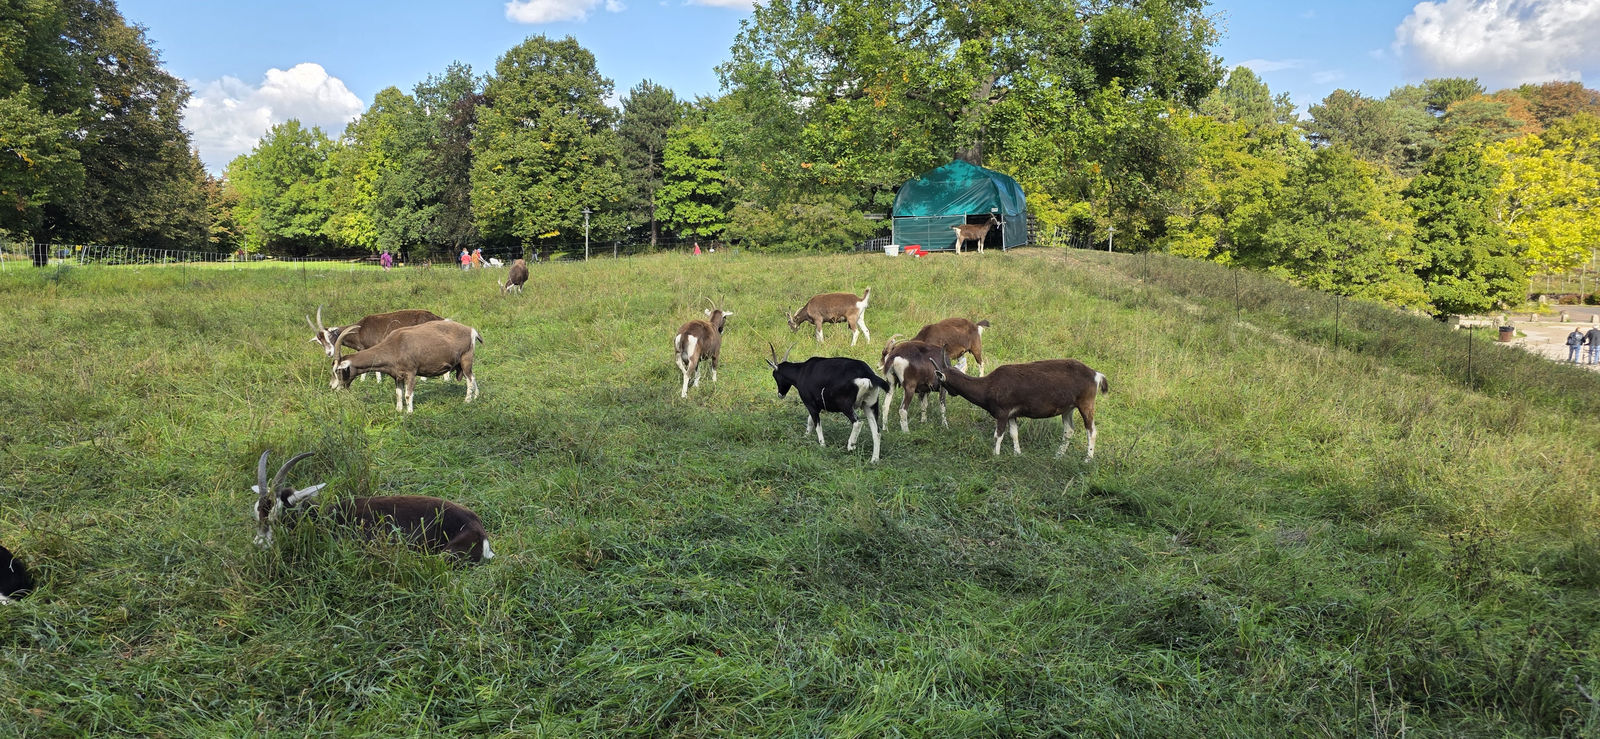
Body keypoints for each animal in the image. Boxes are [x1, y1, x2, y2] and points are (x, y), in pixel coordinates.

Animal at [331, 320, 482, 413]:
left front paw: (409, 412)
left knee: (469, 379)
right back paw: (476, 397)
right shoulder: (397, 376)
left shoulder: (411, 373)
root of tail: (471, 331)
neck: (394, 347)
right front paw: (399, 410)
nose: (332, 387)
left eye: (337, 370)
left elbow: (408, 395)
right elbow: (398, 394)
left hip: (466, 359)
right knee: (473, 376)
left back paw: (467, 400)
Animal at [932, 359, 1109, 460]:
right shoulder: (1012, 414)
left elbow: (998, 435)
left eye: (940, 379)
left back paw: (1088, 459)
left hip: (1086, 402)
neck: (988, 386)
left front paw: (995, 455)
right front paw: (1017, 454)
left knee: (1091, 431)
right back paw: (1058, 456)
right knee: (1069, 430)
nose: (933, 387)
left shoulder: (1002, 412)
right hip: (1068, 408)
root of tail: (1096, 375)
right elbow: (1014, 433)